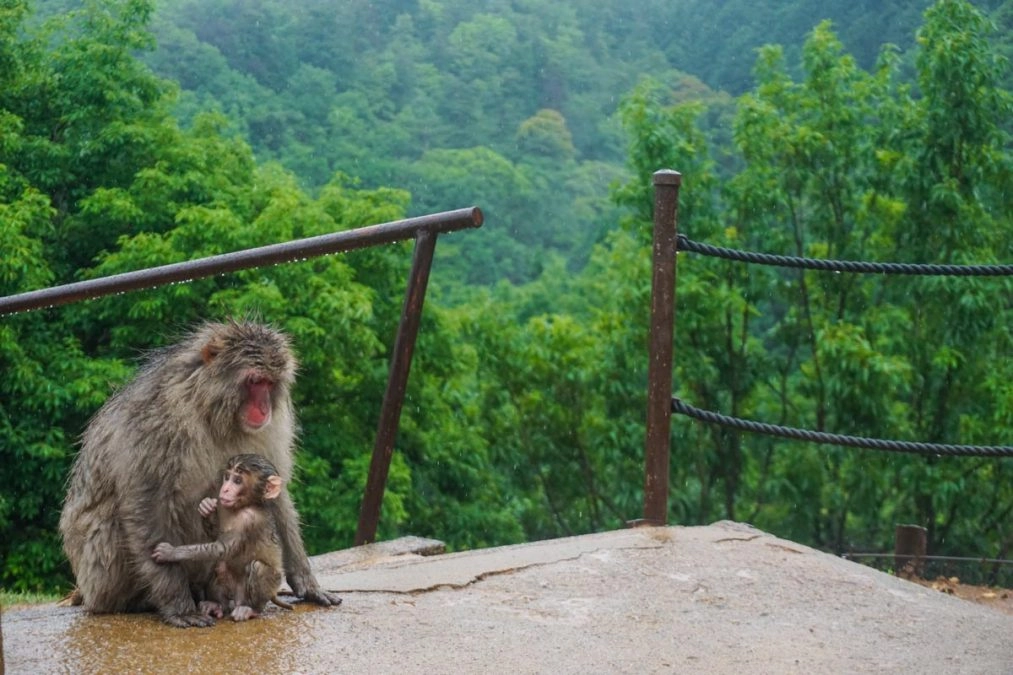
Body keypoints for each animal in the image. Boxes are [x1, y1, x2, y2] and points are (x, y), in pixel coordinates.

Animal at [149, 452, 295, 620]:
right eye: (227, 477)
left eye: (237, 481)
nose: (225, 489)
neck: (244, 506)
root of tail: (238, 599)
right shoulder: (223, 505)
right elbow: (217, 541)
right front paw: (207, 508)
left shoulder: (249, 519)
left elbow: (222, 548)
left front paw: (170, 552)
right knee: (220, 567)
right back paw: (216, 605)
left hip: (269, 584)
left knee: (258, 567)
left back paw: (251, 609)